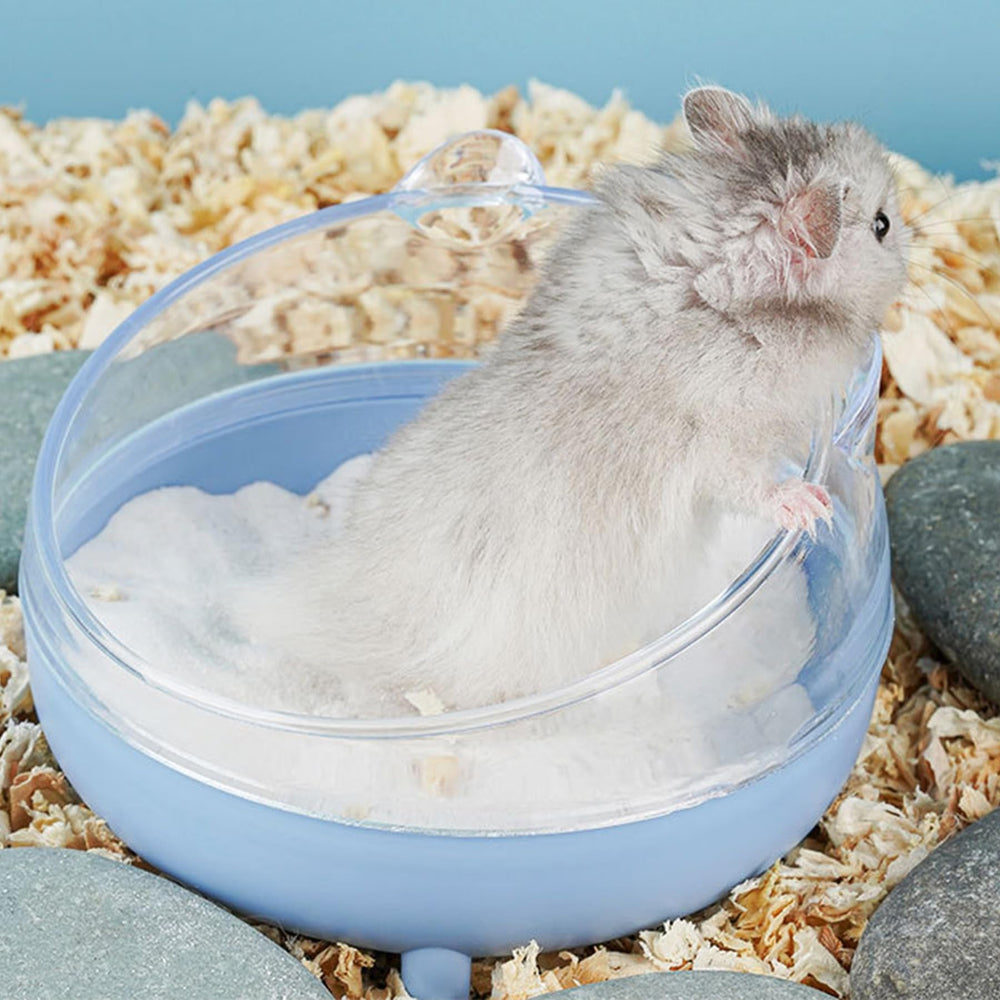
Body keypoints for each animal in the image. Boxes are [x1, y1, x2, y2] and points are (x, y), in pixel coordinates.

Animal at [245, 87, 910, 715]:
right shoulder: (724, 438)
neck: (718, 279)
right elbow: (752, 484)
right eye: (881, 224)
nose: (916, 243)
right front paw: (811, 505)